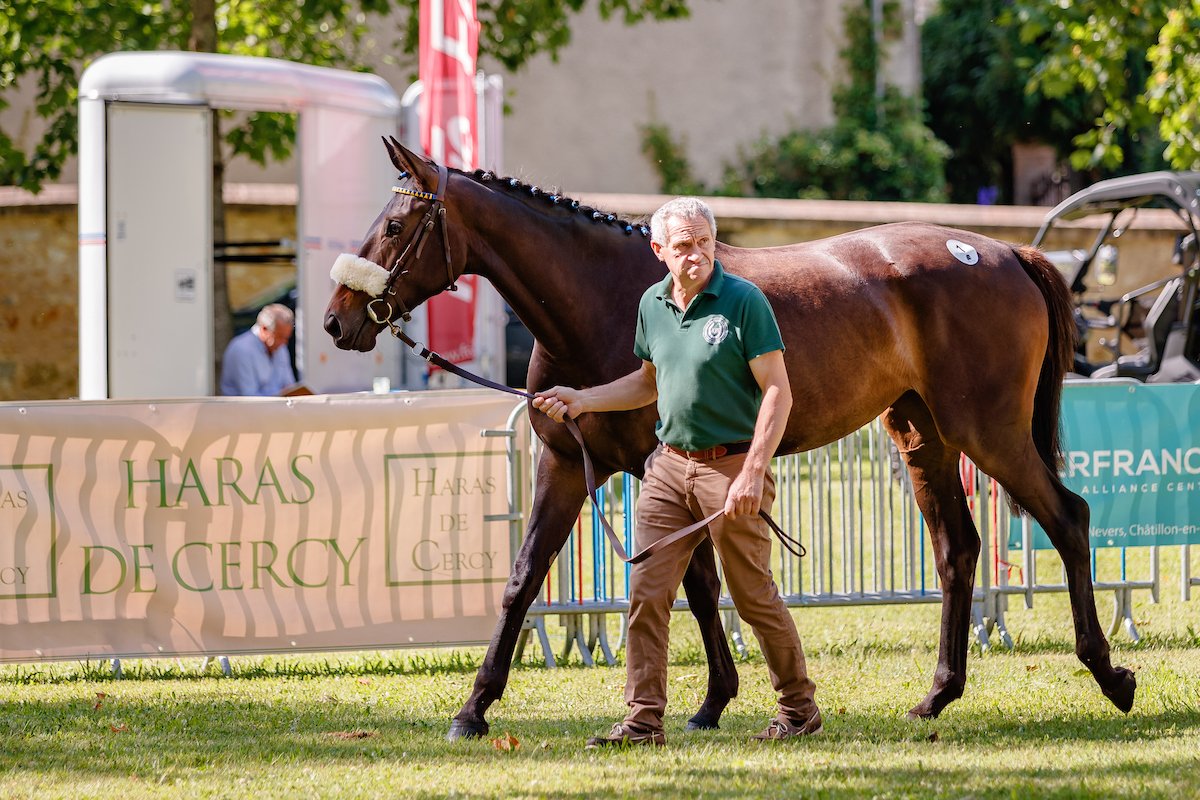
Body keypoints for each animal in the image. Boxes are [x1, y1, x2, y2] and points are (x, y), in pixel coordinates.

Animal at [324, 138, 1137, 740]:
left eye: (394, 226)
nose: (337, 319)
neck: (603, 297)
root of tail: (1005, 254)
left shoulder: (657, 464)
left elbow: (695, 582)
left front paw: (713, 700)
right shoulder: (566, 466)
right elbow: (527, 579)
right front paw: (474, 709)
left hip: (989, 432)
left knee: (1068, 519)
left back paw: (1110, 675)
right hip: (923, 438)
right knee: (958, 549)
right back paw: (937, 696)